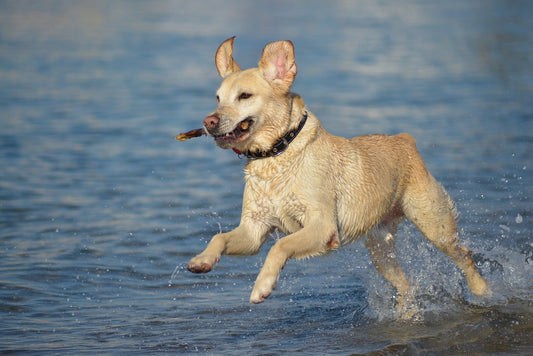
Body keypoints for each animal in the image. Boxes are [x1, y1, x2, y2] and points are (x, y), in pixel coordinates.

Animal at [186, 35, 486, 314]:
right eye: (217, 98)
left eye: (245, 96)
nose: (208, 121)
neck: (277, 154)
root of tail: (405, 140)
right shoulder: (254, 230)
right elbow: (220, 237)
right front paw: (202, 260)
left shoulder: (322, 225)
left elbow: (280, 247)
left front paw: (262, 286)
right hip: (380, 249)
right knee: (406, 284)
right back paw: (407, 314)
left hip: (434, 224)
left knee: (465, 255)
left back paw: (482, 290)